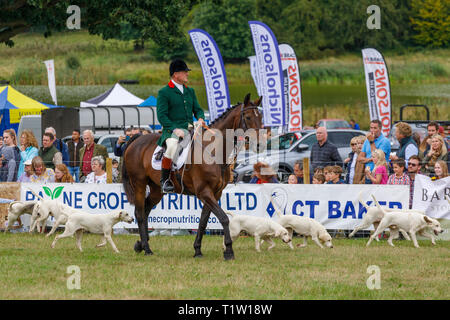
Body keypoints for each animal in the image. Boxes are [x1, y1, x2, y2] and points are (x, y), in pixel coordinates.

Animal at [123, 93, 264, 260]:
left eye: (261, 116)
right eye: (248, 117)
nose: (260, 144)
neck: (213, 151)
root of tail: (136, 139)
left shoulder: (215, 193)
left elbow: (203, 222)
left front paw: (197, 250)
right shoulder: (204, 192)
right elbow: (224, 218)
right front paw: (229, 250)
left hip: (157, 189)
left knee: (146, 210)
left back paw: (141, 244)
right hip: (139, 183)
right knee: (139, 213)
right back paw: (146, 248)